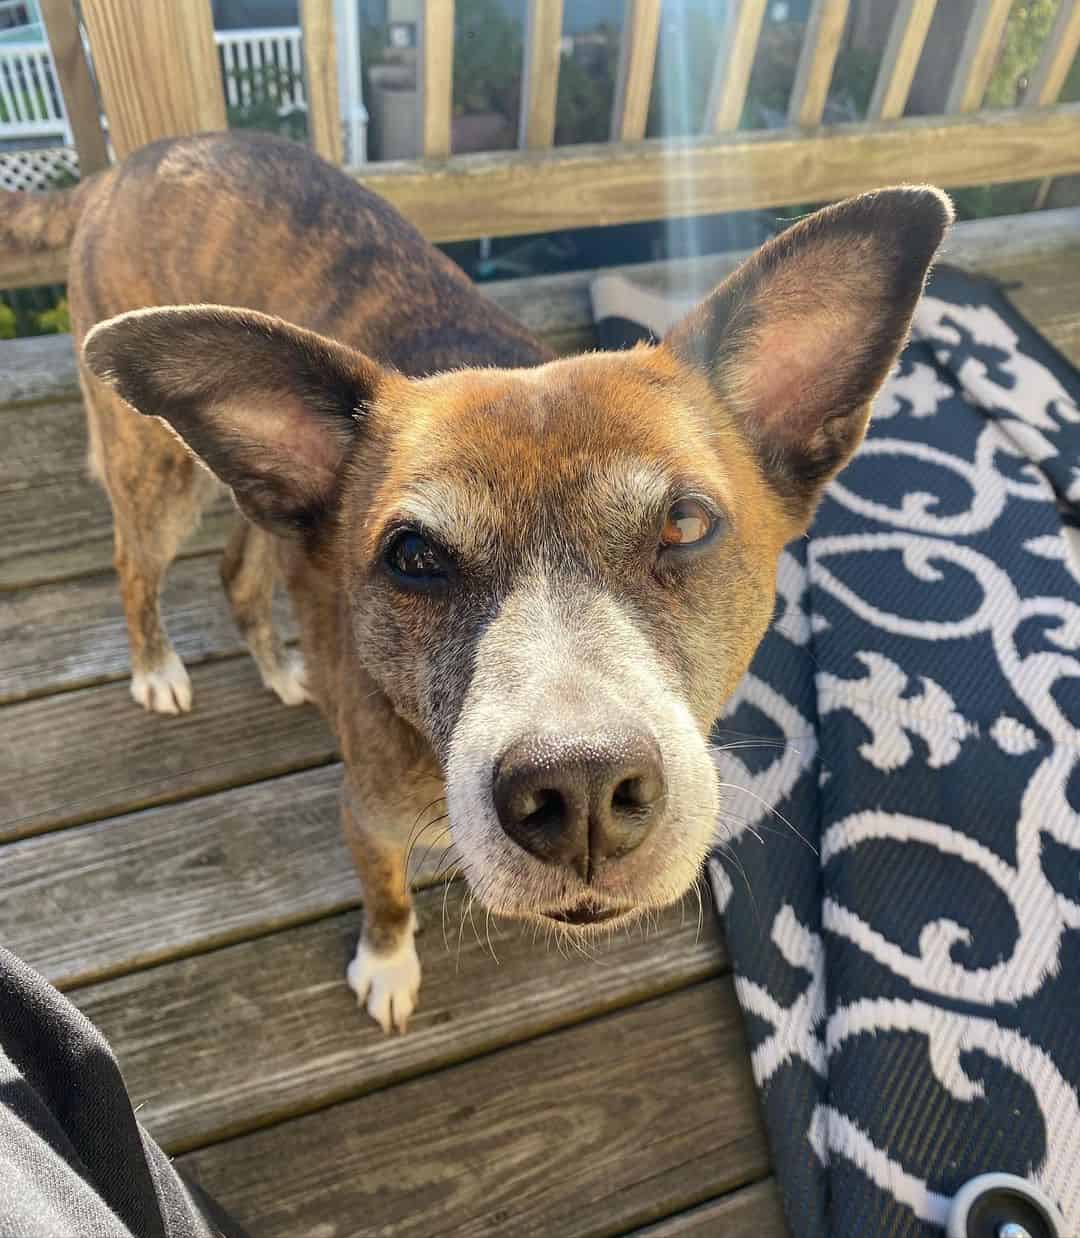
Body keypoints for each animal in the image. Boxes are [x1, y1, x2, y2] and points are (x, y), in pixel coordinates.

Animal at [0, 130, 951, 1030]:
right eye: (414, 556)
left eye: (685, 524)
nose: (580, 788)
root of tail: (125, 168)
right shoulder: (367, 815)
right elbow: (385, 897)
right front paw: (388, 966)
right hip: (152, 473)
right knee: (135, 565)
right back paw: (157, 668)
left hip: (262, 508)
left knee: (240, 568)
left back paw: (279, 667)